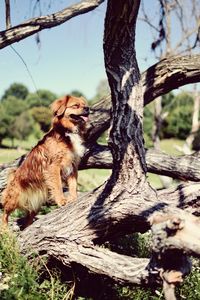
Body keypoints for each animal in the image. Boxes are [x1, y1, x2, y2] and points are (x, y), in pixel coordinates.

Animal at [1, 95, 89, 227]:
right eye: (76, 105)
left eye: (85, 105)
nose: (88, 109)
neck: (67, 132)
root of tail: (13, 177)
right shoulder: (54, 167)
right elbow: (58, 185)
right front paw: (62, 201)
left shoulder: (73, 165)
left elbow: (73, 185)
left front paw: (73, 198)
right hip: (14, 198)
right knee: (4, 213)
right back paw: (5, 228)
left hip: (34, 206)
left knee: (28, 221)